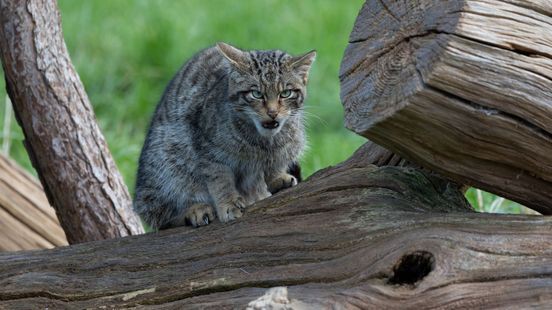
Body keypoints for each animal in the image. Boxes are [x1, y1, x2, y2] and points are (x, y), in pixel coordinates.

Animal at [133, 41, 314, 230]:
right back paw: (195, 210)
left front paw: (277, 177)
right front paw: (228, 204)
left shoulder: (288, 145)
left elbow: (276, 162)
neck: (263, 141)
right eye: (256, 94)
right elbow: (221, 182)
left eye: (286, 93)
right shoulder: (210, 154)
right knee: (162, 216)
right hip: (165, 168)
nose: (273, 113)